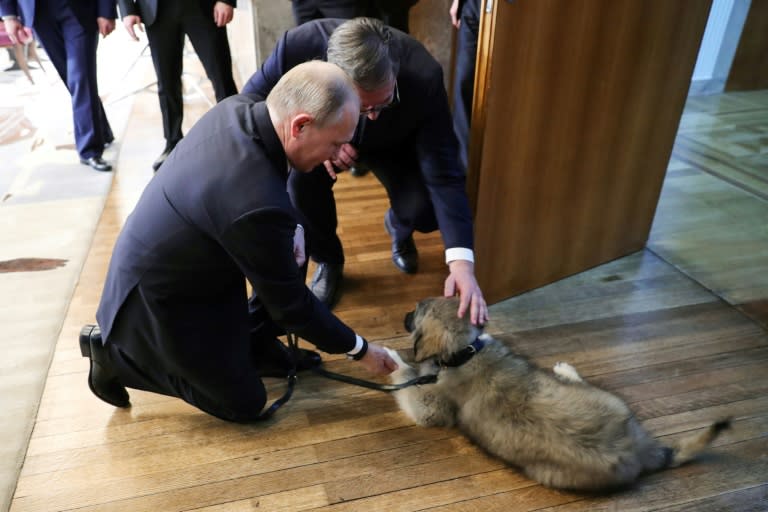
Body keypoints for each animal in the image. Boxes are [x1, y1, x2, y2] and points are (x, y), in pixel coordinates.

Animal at [388, 296, 728, 492]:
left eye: (415, 312)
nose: (403, 315)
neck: (465, 351)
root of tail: (638, 446)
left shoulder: (430, 406)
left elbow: (407, 382)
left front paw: (392, 359)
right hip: (610, 401)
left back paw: (565, 369)